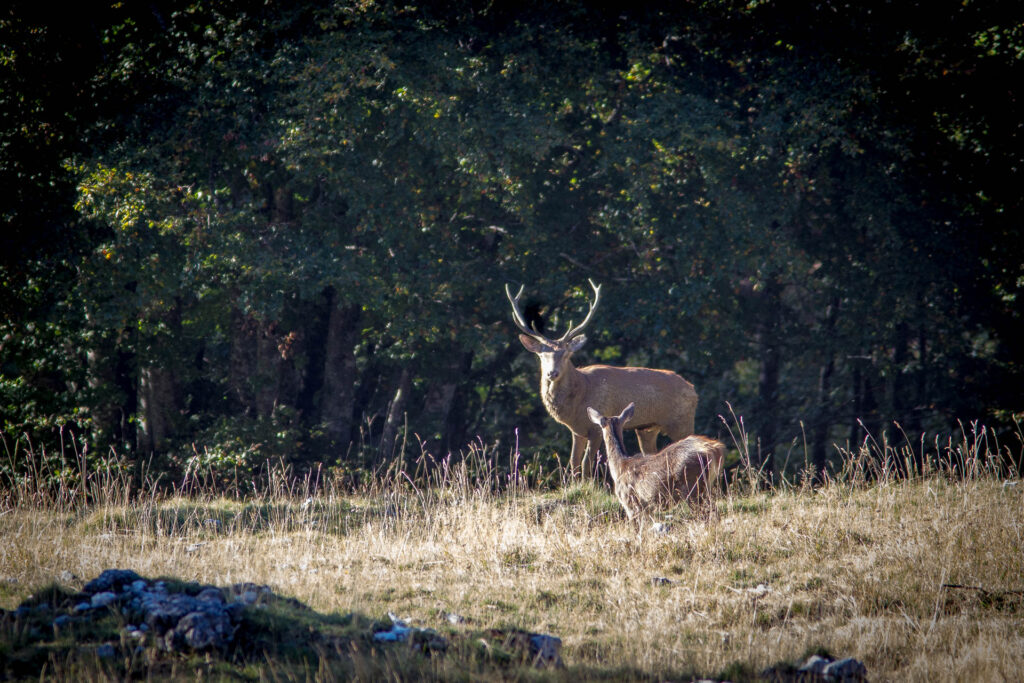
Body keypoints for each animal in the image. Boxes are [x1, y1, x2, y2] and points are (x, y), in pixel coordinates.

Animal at [506, 280, 698, 476]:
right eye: (541, 355)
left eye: (566, 354)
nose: (552, 373)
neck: (580, 395)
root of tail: (693, 390)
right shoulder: (577, 431)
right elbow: (573, 462)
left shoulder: (596, 425)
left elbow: (586, 463)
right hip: (647, 428)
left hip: (682, 421)